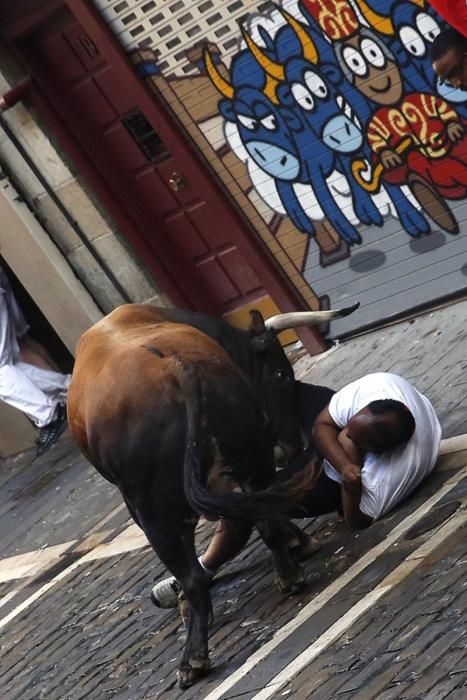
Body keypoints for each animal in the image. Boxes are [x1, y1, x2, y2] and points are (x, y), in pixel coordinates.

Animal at [66, 304, 358, 688]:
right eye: (280, 373)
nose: (293, 444)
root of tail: (178, 366)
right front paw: (300, 541)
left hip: (156, 512)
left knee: (193, 573)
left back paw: (193, 657)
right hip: (254, 460)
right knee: (263, 517)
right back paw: (289, 575)